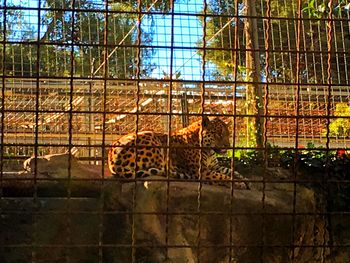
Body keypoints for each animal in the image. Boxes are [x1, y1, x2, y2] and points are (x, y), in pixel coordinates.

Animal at [108, 116, 250, 190]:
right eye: (218, 133)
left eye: (228, 134)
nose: (228, 146)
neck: (209, 150)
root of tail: (112, 162)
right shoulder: (202, 171)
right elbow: (222, 176)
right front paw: (238, 184)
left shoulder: (214, 166)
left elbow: (230, 171)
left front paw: (244, 179)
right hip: (152, 139)